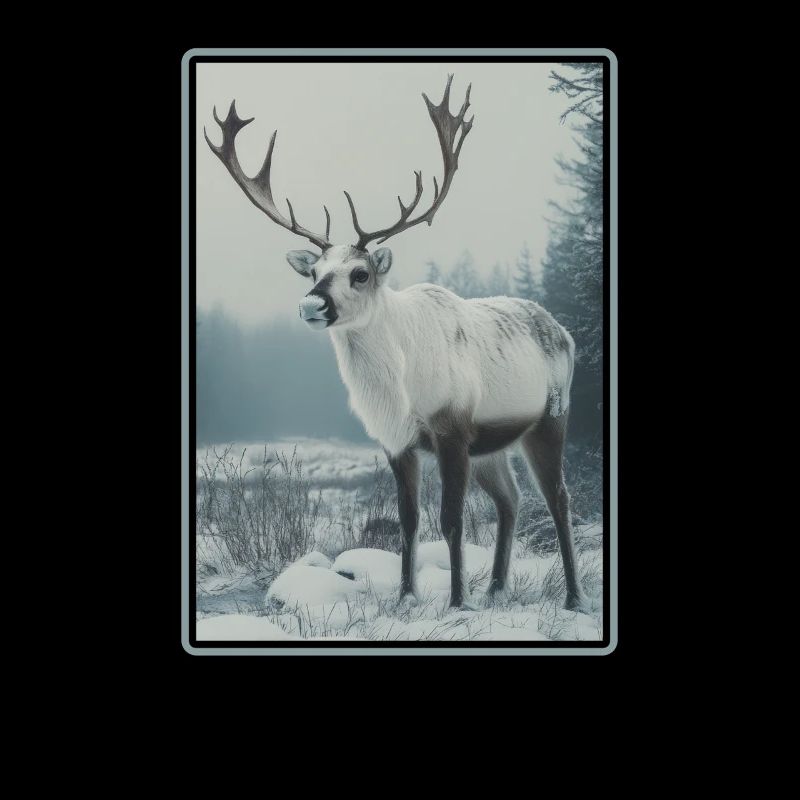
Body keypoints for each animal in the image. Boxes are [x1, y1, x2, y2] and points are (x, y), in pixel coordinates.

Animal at [205, 75, 587, 611]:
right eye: (315, 271)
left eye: (360, 273)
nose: (311, 304)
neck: (399, 392)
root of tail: (563, 331)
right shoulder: (397, 441)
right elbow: (408, 522)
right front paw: (407, 596)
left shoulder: (452, 429)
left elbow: (451, 520)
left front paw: (456, 602)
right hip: (492, 445)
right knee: (510, 500)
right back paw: (495, 589)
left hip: (551, 417)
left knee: (559, 498)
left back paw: (572, 598)